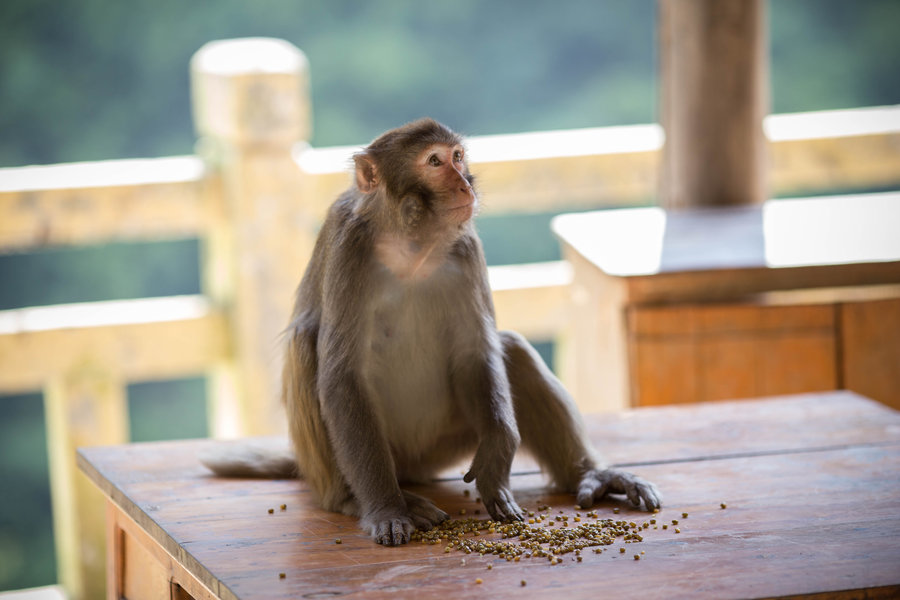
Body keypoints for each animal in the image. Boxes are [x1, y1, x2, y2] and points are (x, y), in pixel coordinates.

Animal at [200, 119, 656, 548]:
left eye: (457, 156)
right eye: (434, 162)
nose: (463, 183)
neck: (411, 247)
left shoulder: (467, 247)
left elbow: (477, 352)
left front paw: (499, 452)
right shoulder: (351, 248)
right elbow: (342, 376)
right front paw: (386, 509)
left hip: (440, 447)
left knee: (511, 349)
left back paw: (594, 476)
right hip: (368, 459)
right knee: (305, 347)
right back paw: (356, 499)